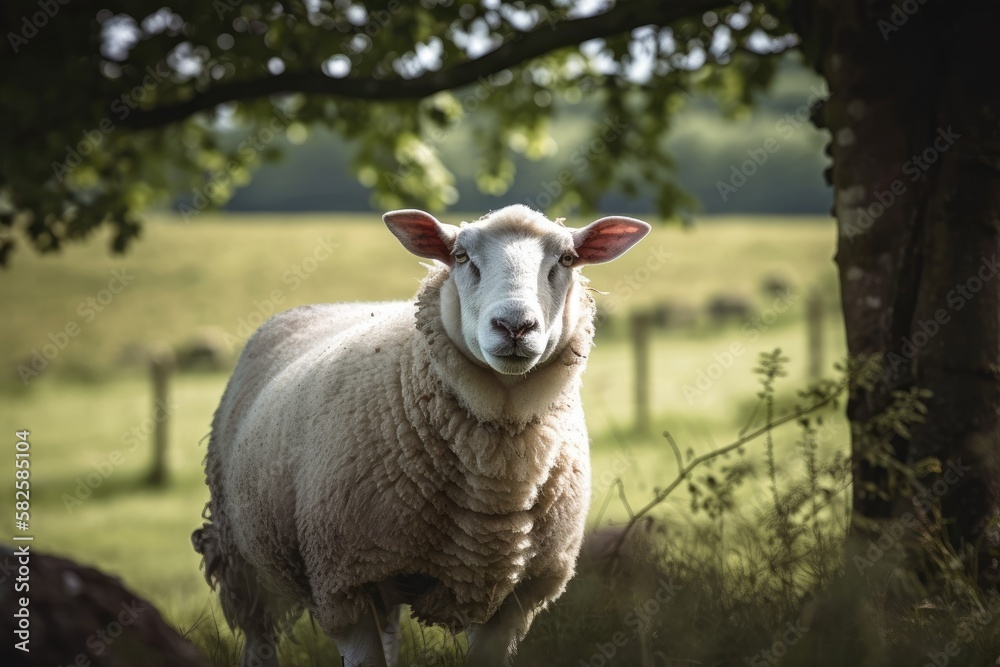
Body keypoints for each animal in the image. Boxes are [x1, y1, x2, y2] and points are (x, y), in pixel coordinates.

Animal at [192, 204, 650, 667]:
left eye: (568, 259)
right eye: (461, 256)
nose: (515, 326)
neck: (497, 485)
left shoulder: (514, 600)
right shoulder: (341, 583)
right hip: (241, 557)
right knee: (258, 634)